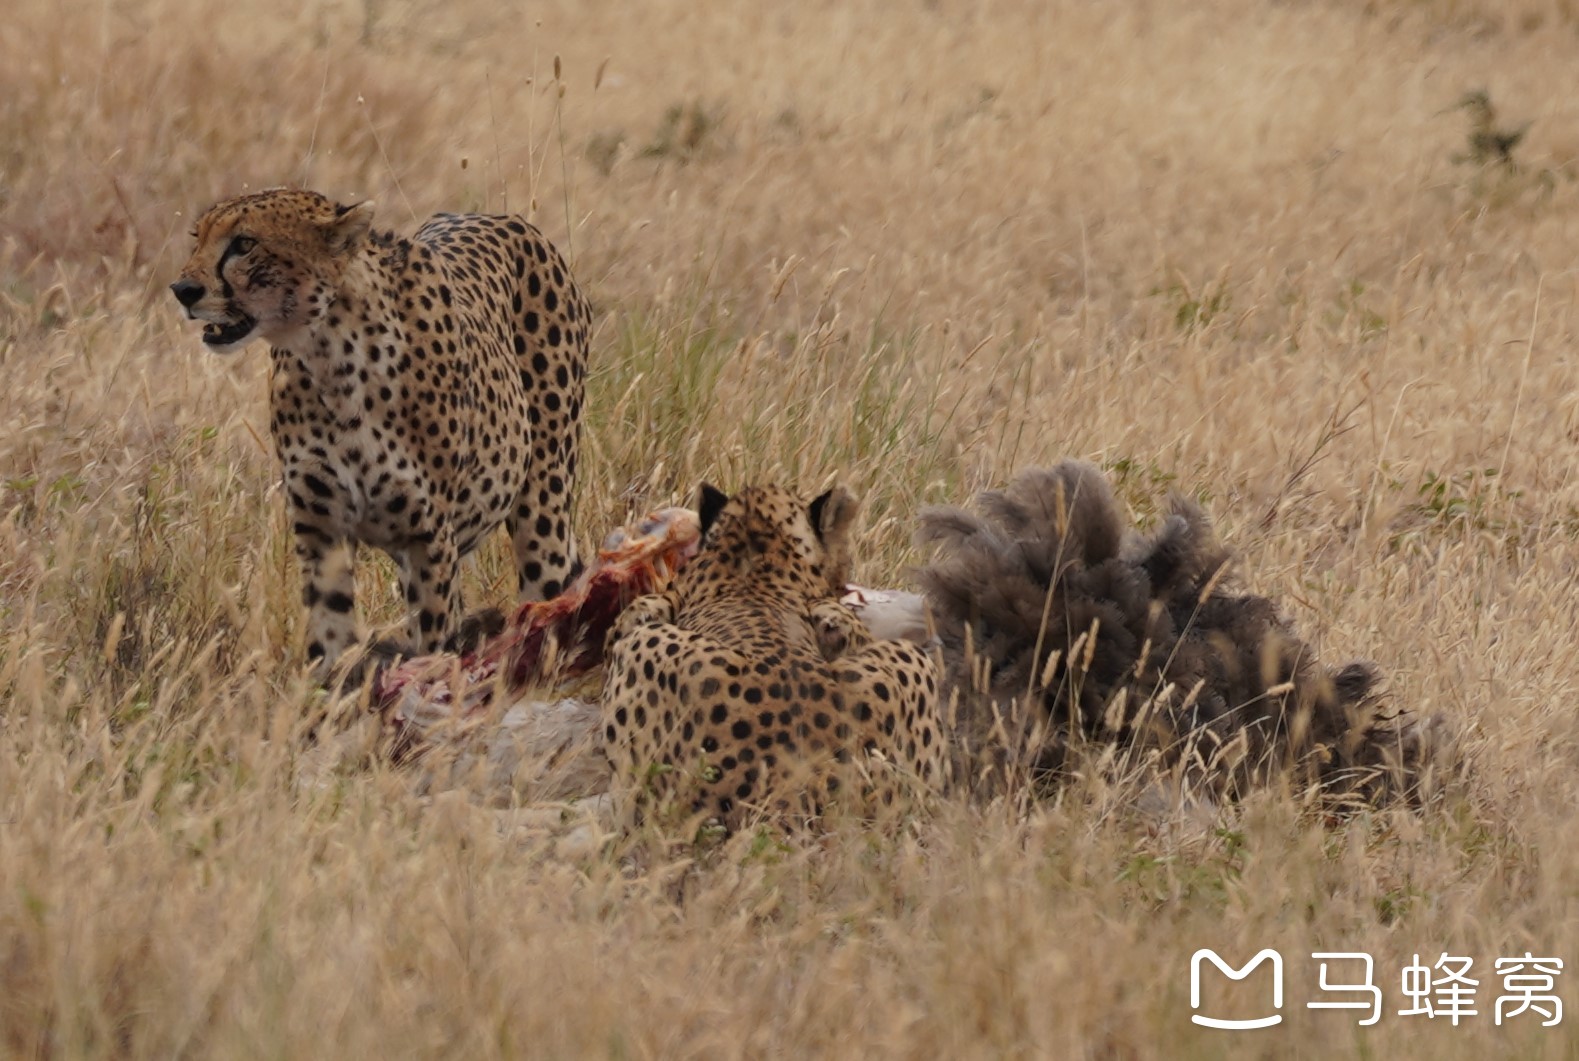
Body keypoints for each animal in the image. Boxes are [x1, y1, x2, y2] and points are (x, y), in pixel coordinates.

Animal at [172, 186, 590, 675]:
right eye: (198, 238)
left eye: (244, 243)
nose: (183, 290)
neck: (332, 356)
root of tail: (496, 216)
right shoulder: (322, 531)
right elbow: (329, 638)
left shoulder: (428, 537)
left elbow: (434, 635)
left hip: (543, 508)